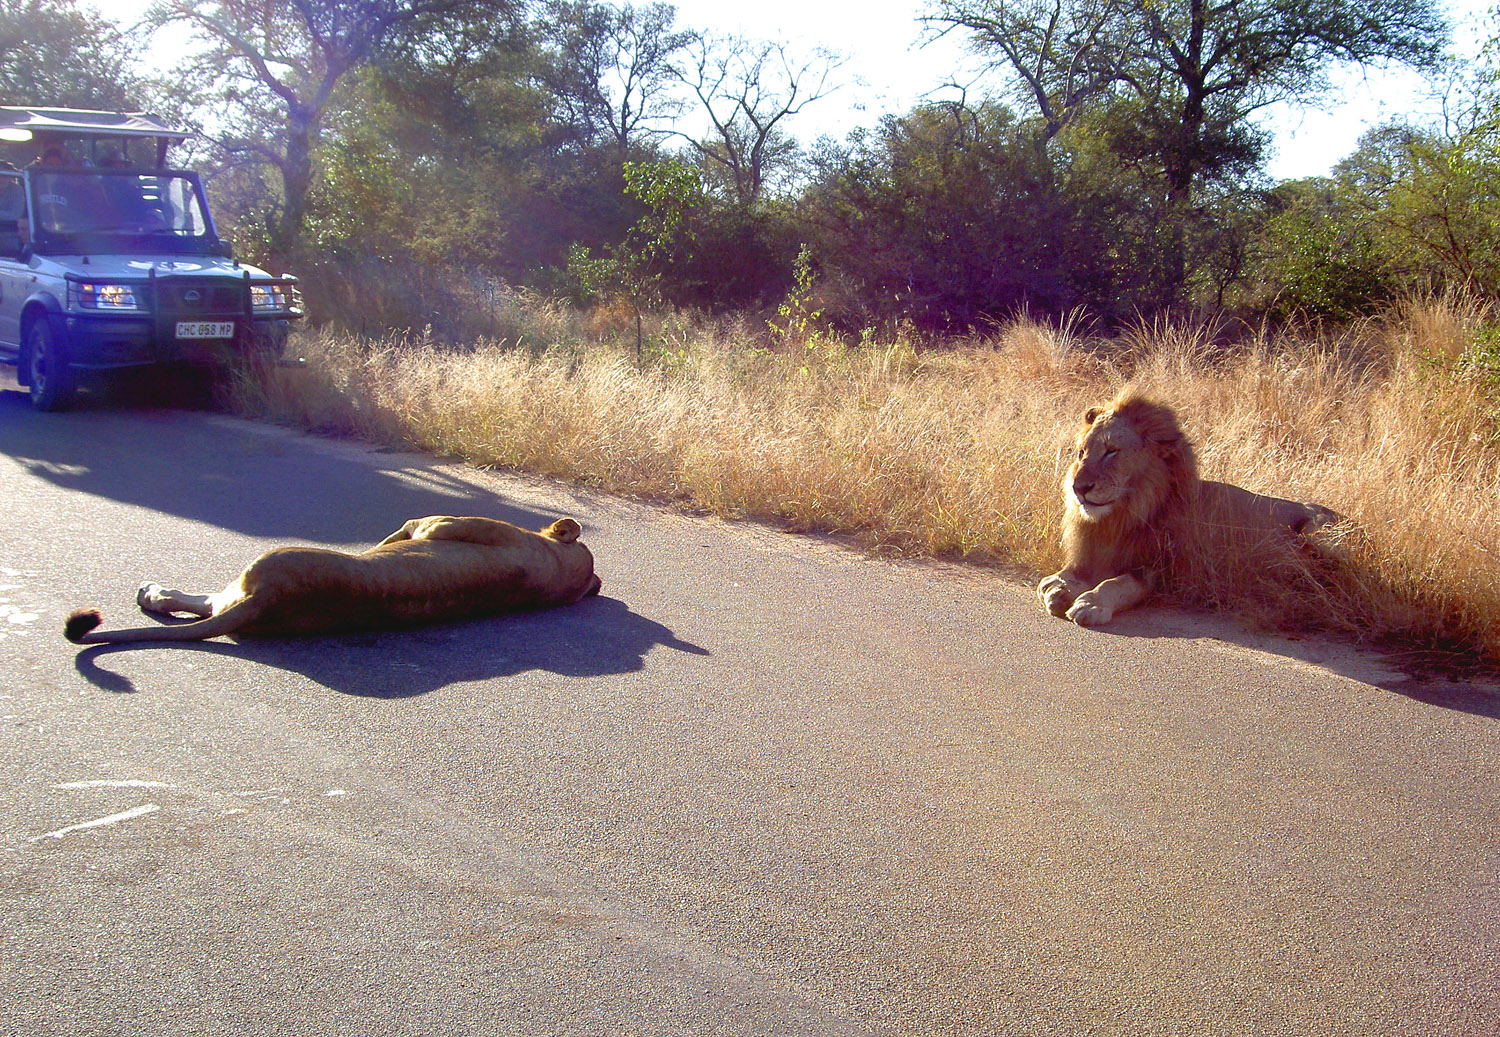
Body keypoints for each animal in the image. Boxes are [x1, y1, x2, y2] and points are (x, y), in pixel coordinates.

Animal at [1038, 390, 1344, 627]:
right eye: (1081, 452)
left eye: (1111, 450)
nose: (1078, 487)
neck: (1122, 515)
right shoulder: (1095, 554)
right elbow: (1072, 575)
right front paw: (1058, 586)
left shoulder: (1165, 572)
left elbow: (1120, 583)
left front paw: (1091, 603)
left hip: (1319, 532)